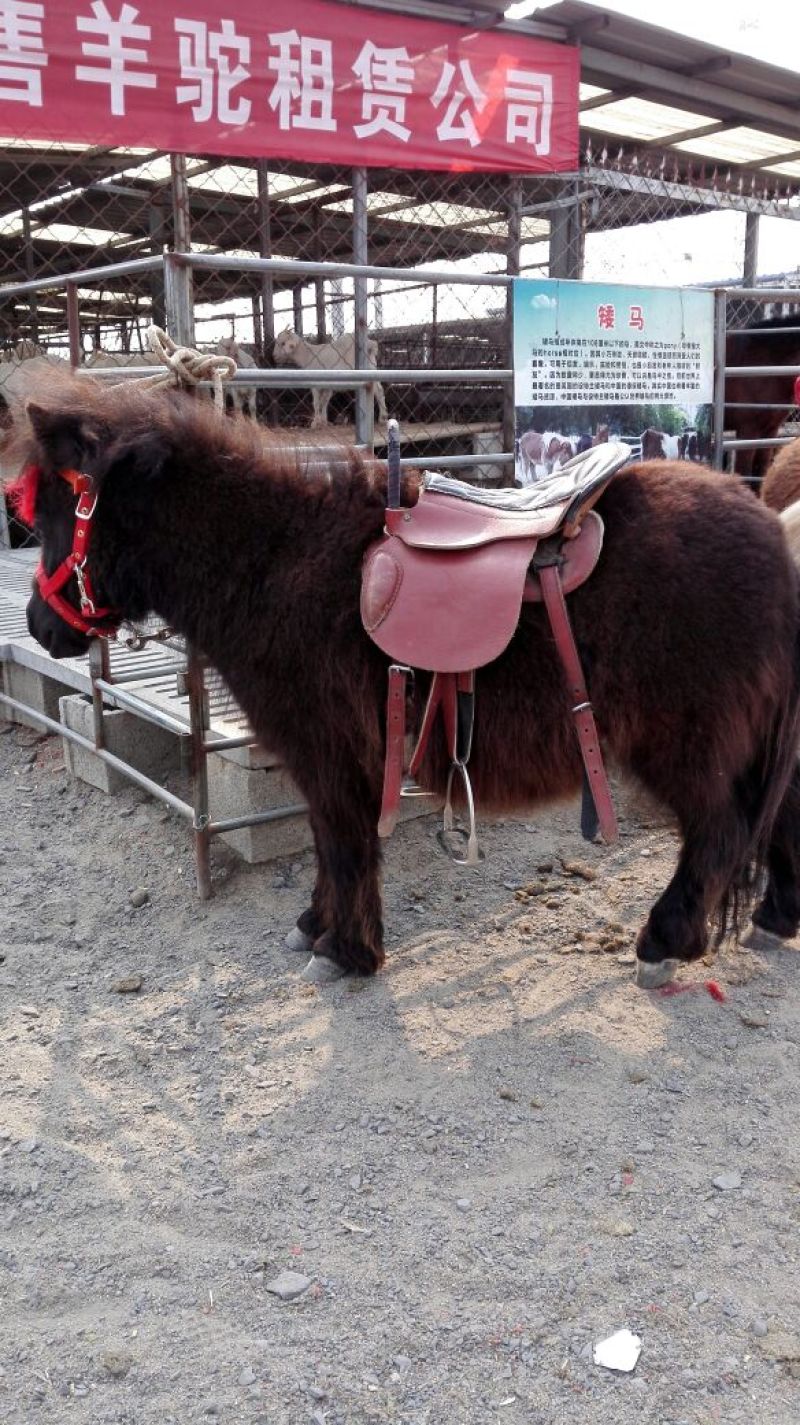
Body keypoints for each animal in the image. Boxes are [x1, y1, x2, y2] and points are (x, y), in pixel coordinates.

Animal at [8, 371, 800, 991]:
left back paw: (665, 941)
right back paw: (774, 917)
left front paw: (346, 950)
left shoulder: (329, 754)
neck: (277, 563)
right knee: (773, 821)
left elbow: (344, 843)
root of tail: (771, 536)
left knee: (721, 832)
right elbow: (330, 844)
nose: (42, 628)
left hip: (690, 747)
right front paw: (317, 926)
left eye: (56, 514)